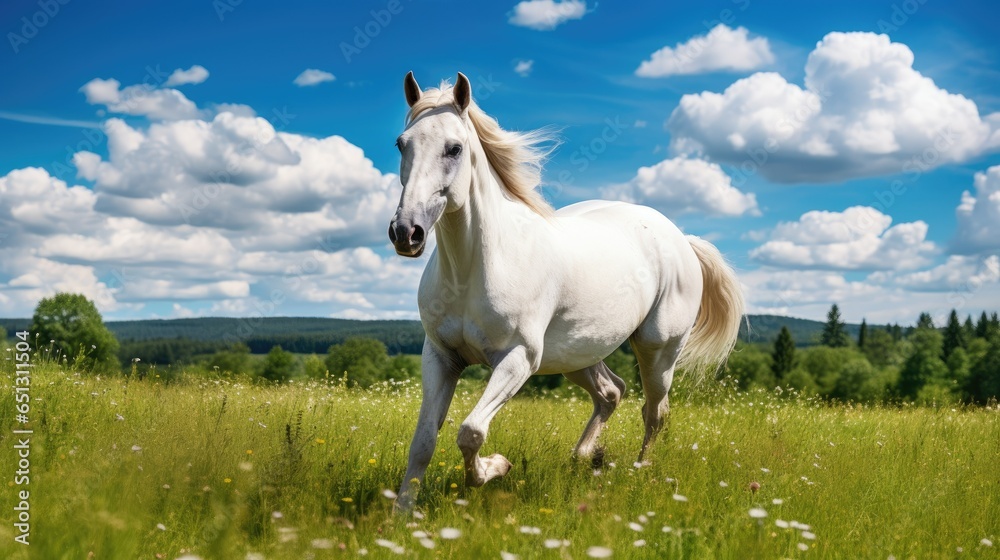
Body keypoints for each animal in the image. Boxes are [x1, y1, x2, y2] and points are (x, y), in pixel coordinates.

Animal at [389, 72, 745, 510]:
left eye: (454, 148)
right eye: (401, 144)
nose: (406, 232)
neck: (475, 266)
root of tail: (682, 239)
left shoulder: (518, 359)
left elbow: (470, 431)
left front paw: (496, 468)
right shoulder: (441, 356)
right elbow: (423, 440)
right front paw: (403, 513)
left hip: (658, 351)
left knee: (655, 412)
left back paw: (639, 472)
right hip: (577, 354)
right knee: (611, 392)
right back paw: (586, 456)